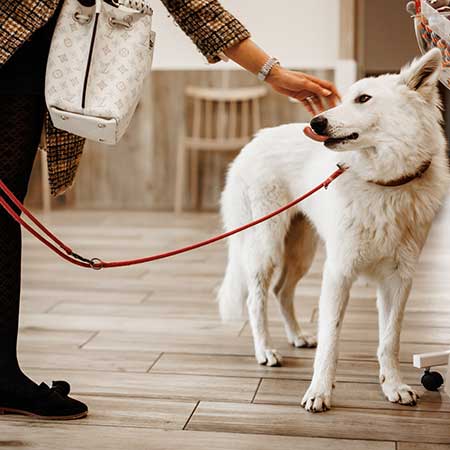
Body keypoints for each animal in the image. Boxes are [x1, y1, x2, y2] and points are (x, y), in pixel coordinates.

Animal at [218, 48, 450, 412]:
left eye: (363, 99)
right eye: (344, 98)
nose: (316, 123)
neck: (384, 182)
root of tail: (255, 140)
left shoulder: (399, 279)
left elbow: (390, 340)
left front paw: (394, 386)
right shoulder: (338, 272)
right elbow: (331, 340)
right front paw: (319, 392)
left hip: (302, 250)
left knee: (282, 291)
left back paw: (297, 336)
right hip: (266, 244)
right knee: (257, 299)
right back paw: (265, 350)